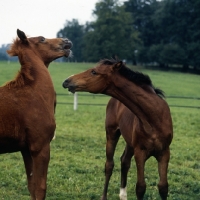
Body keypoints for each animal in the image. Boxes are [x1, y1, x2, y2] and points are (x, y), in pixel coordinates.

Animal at [0, 28, 72, 199]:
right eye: (42, 39)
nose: (67, 41)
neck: (33, 93)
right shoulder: (40, 148)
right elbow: (40, 188)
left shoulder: (26, 150)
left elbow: (31, 186)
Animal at [63, 59, 173, 200]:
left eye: (94, 72)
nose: (67, 81)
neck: (154, 117)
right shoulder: (140, 153)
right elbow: (141, 187)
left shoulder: (164, 152)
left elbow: (163, 187)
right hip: (112, 134)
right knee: (109, 165)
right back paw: (105, 196)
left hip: (130, 143)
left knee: (124, 161)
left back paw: (123, 194)